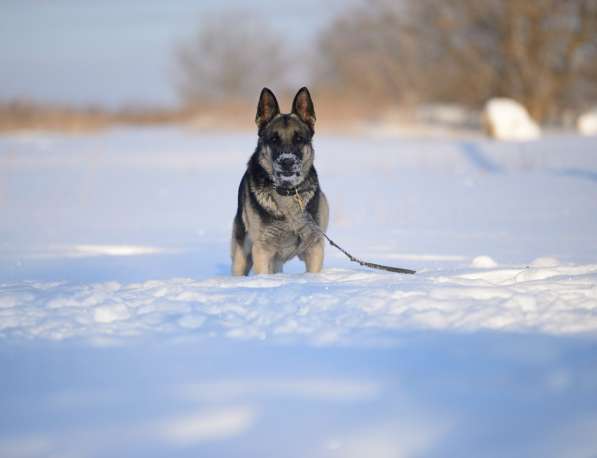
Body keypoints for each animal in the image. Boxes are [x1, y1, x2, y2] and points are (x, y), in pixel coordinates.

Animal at [230, 87, 328, 276]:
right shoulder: (262, 250)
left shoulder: (315, 247)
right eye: (274, 139)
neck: (287, 193)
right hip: (242, 256)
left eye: (299, 139)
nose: (287, 161)